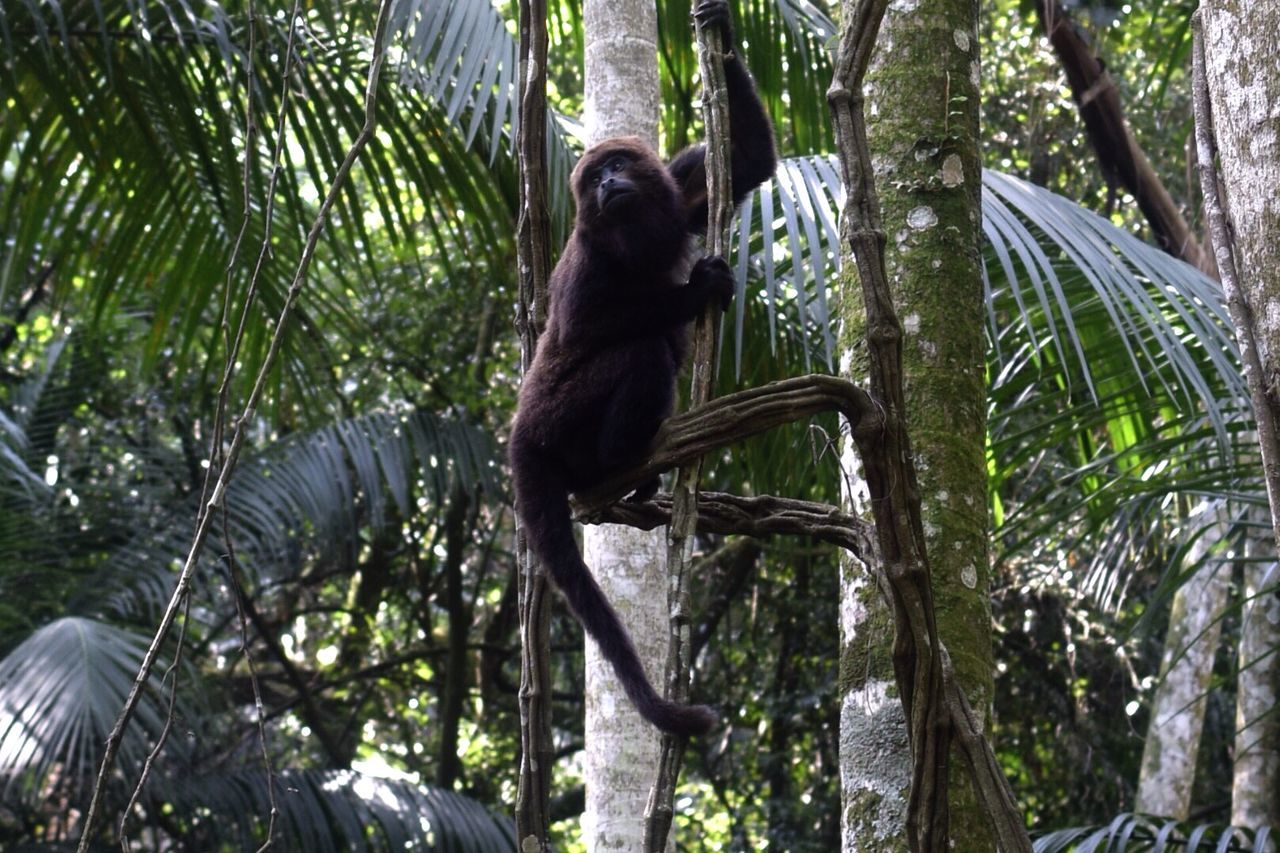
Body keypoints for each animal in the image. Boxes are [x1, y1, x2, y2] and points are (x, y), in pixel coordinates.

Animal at [506, 0, 768, 732]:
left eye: (619, 163)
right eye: (594, 178)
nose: (608, 181)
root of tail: (519, 436)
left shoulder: (677, 192)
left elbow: (747, 164)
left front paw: (721, 27)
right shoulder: (587, 258)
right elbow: (585, 328)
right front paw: (696, 289)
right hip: (559, 421)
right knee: (644, 350)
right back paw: (620, 460)